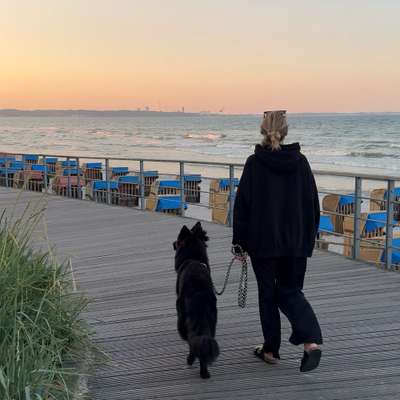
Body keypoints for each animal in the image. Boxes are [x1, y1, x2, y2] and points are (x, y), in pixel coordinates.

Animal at [173, 222, 220, 378]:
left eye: (178, 240)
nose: (173, 243)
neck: (193, 259)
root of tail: (200, 294)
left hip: (183, 318)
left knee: (190, 340)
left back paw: (190, 360)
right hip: (212, 320)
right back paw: (204, 372)